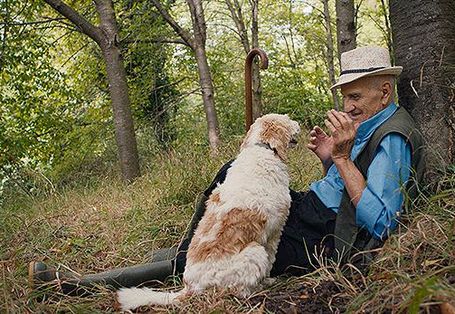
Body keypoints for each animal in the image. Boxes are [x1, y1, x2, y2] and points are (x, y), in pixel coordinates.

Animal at [117, 114, 302, 310]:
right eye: (287, 120)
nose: (298, 123)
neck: (261, 150)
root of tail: (190, 287)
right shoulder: (275, 232)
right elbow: (271, 260)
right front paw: (269, 278)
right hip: (255, 251)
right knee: (238, 290)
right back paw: (260, 287)